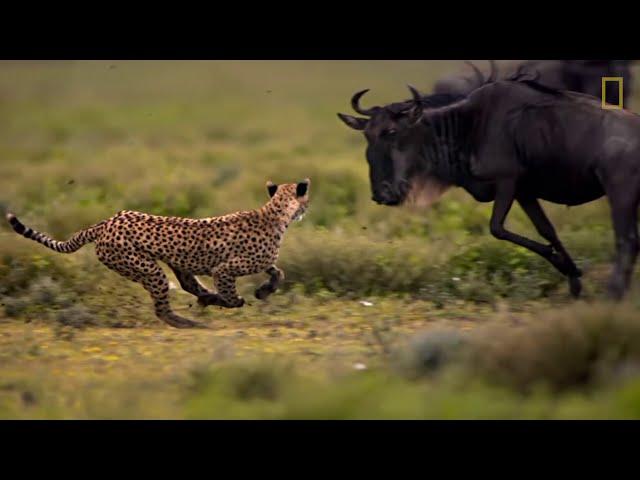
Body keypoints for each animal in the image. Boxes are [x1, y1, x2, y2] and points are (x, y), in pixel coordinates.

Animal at [6, 178, 312, 328]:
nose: (307, 209)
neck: (275, 212)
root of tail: (106, 221)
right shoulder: (224, 269)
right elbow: (231, 294)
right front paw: (231, 301)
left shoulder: (259, 262)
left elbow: (278, 271)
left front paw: (264, 291)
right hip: (147, 269)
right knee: (162, 309)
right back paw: (190, 322)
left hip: (170, 265)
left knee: (188, 286)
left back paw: (203, 300)